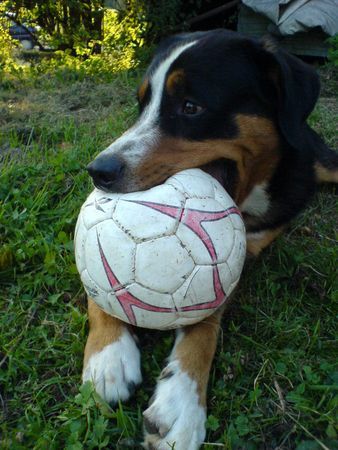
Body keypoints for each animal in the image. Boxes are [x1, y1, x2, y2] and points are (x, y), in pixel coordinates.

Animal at [80, 29, 336, 448]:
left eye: (191, 107)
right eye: (141, 104)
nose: (99, 170)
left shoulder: (233, 260)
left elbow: (204, 321)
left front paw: (180, 401)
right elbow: (99, 288)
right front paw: (109, 355)